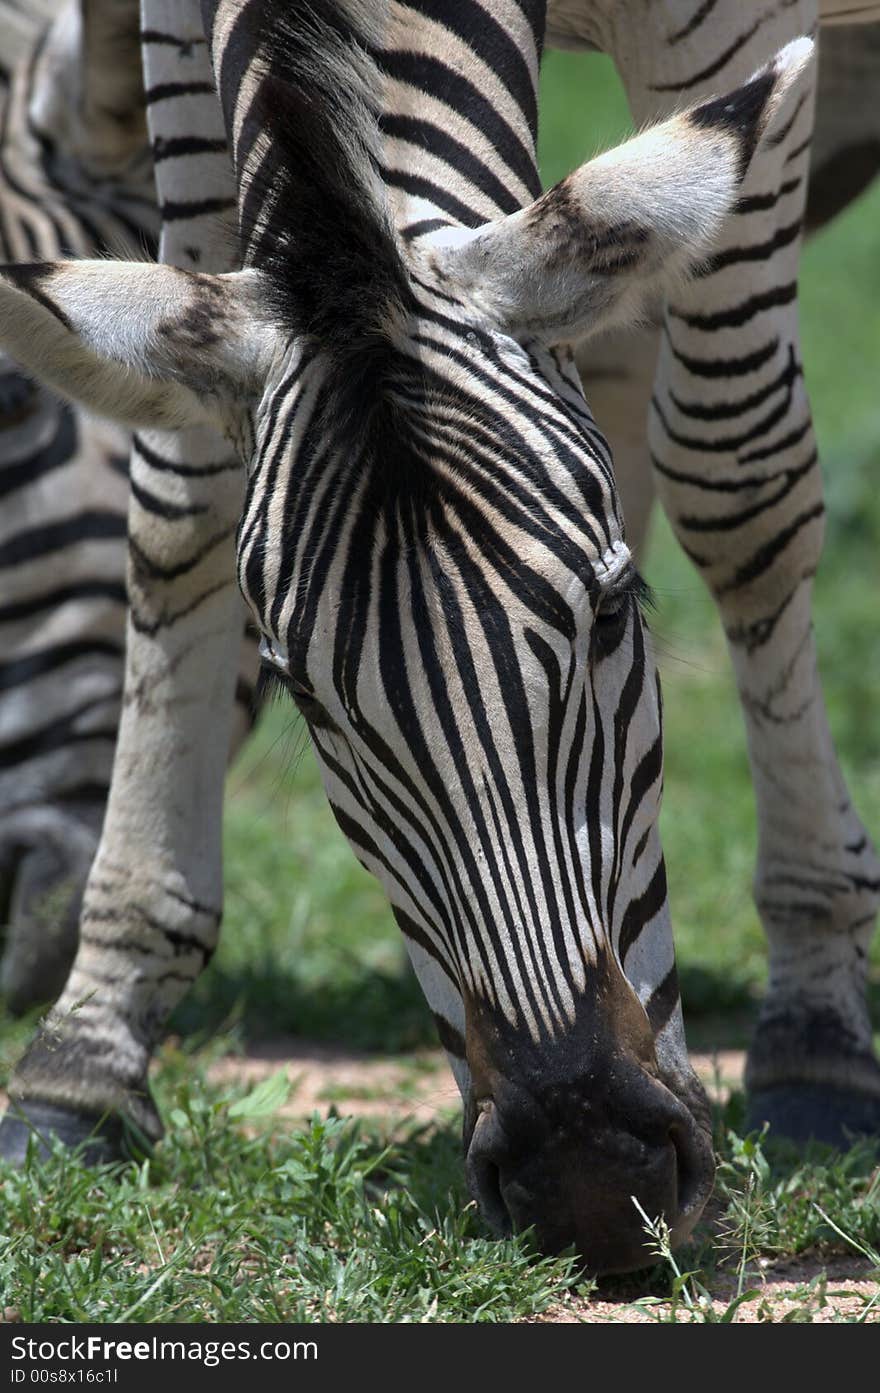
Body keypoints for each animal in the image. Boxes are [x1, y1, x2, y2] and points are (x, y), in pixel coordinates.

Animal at [0, 0, 874, 1275]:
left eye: (615, 614)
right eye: (302, 695)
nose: (589, 1182)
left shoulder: (722, 35)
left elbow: (738, 476)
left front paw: (815, 1020)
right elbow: (184, 499)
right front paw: (88, 1052)